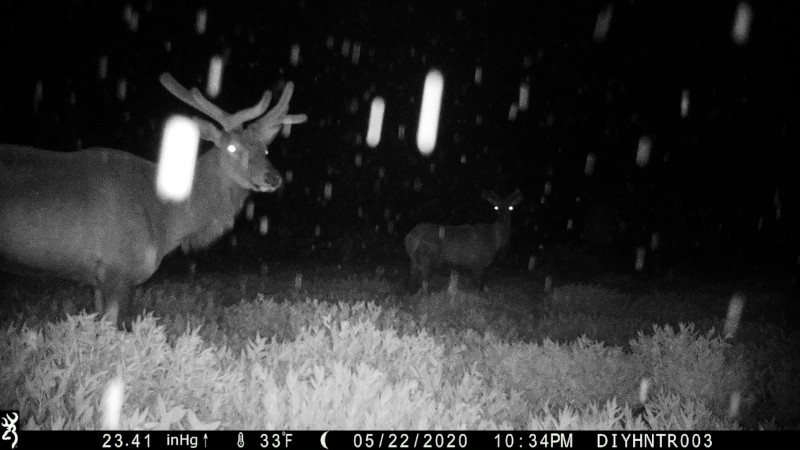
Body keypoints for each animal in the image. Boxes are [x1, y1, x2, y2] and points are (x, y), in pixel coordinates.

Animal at [0, 73, 307, 330]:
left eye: (265, 149)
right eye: (232, 147)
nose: (273, 178)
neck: (165, 218)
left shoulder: (100, 279)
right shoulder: (118, 269)